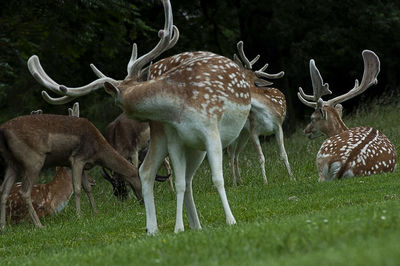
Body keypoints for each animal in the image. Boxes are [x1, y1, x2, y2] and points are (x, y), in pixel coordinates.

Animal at [0, 103, 142, 229]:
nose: (141, 201)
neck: (98, 151)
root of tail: (3, 130)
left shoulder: (83, 164)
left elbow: (87, 188)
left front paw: (96, 212)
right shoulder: (77, 158)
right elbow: (78, 188)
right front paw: (79, 216)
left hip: (12, 163)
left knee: (4, 190)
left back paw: (3, 227)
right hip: (33, 160)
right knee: (24, 191)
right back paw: (39, 225)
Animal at [27, 0, 253, 234]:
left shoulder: (210, 129)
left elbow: (216, 177)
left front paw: (230, 221)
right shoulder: (176, 138)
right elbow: (181, 181)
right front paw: (179, 228)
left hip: (193, 145)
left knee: (180, 176)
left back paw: (190, 225)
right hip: (170, 138)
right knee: (156, 172)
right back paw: (159, 228)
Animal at [228, 42, 294, 185]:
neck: (264, 113)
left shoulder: (278, 126)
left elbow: (284, 154)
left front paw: (292, 177)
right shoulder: (254, 131)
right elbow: (261, 158)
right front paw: (265, 182)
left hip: (244, 134)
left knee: (236, 154)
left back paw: (240, 181)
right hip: (236, 131)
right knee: (230, 154)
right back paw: (234, 183)